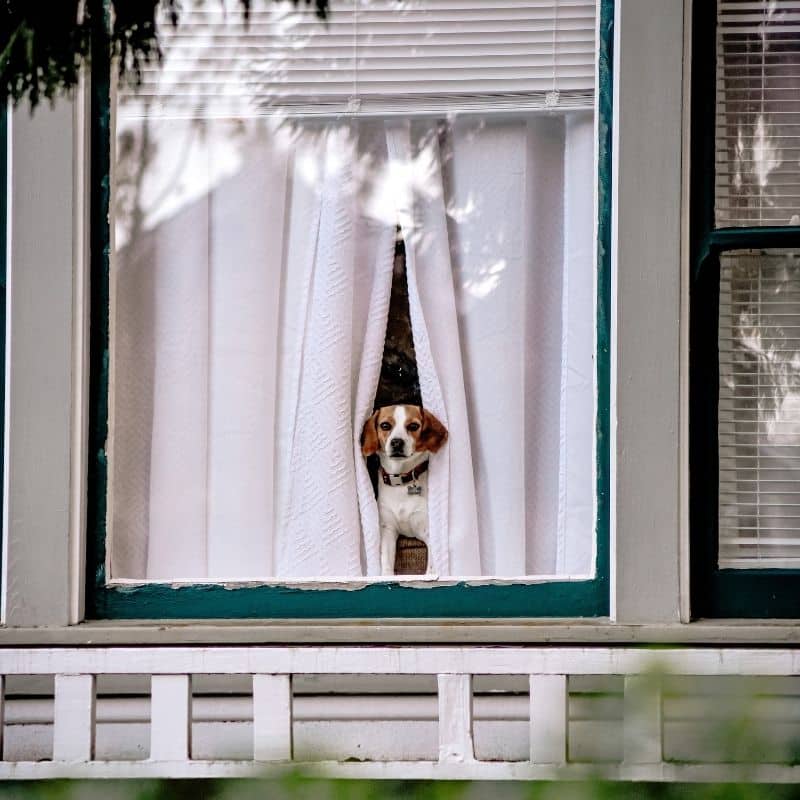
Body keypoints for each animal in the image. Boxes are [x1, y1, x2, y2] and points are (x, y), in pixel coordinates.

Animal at [362, 406, 450, 576]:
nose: (397, 442)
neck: (401, 481)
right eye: (385, 425)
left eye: (413, 426)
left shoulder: (428, 532)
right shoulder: (388, 531)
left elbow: (431, 568)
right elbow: (386, 565)